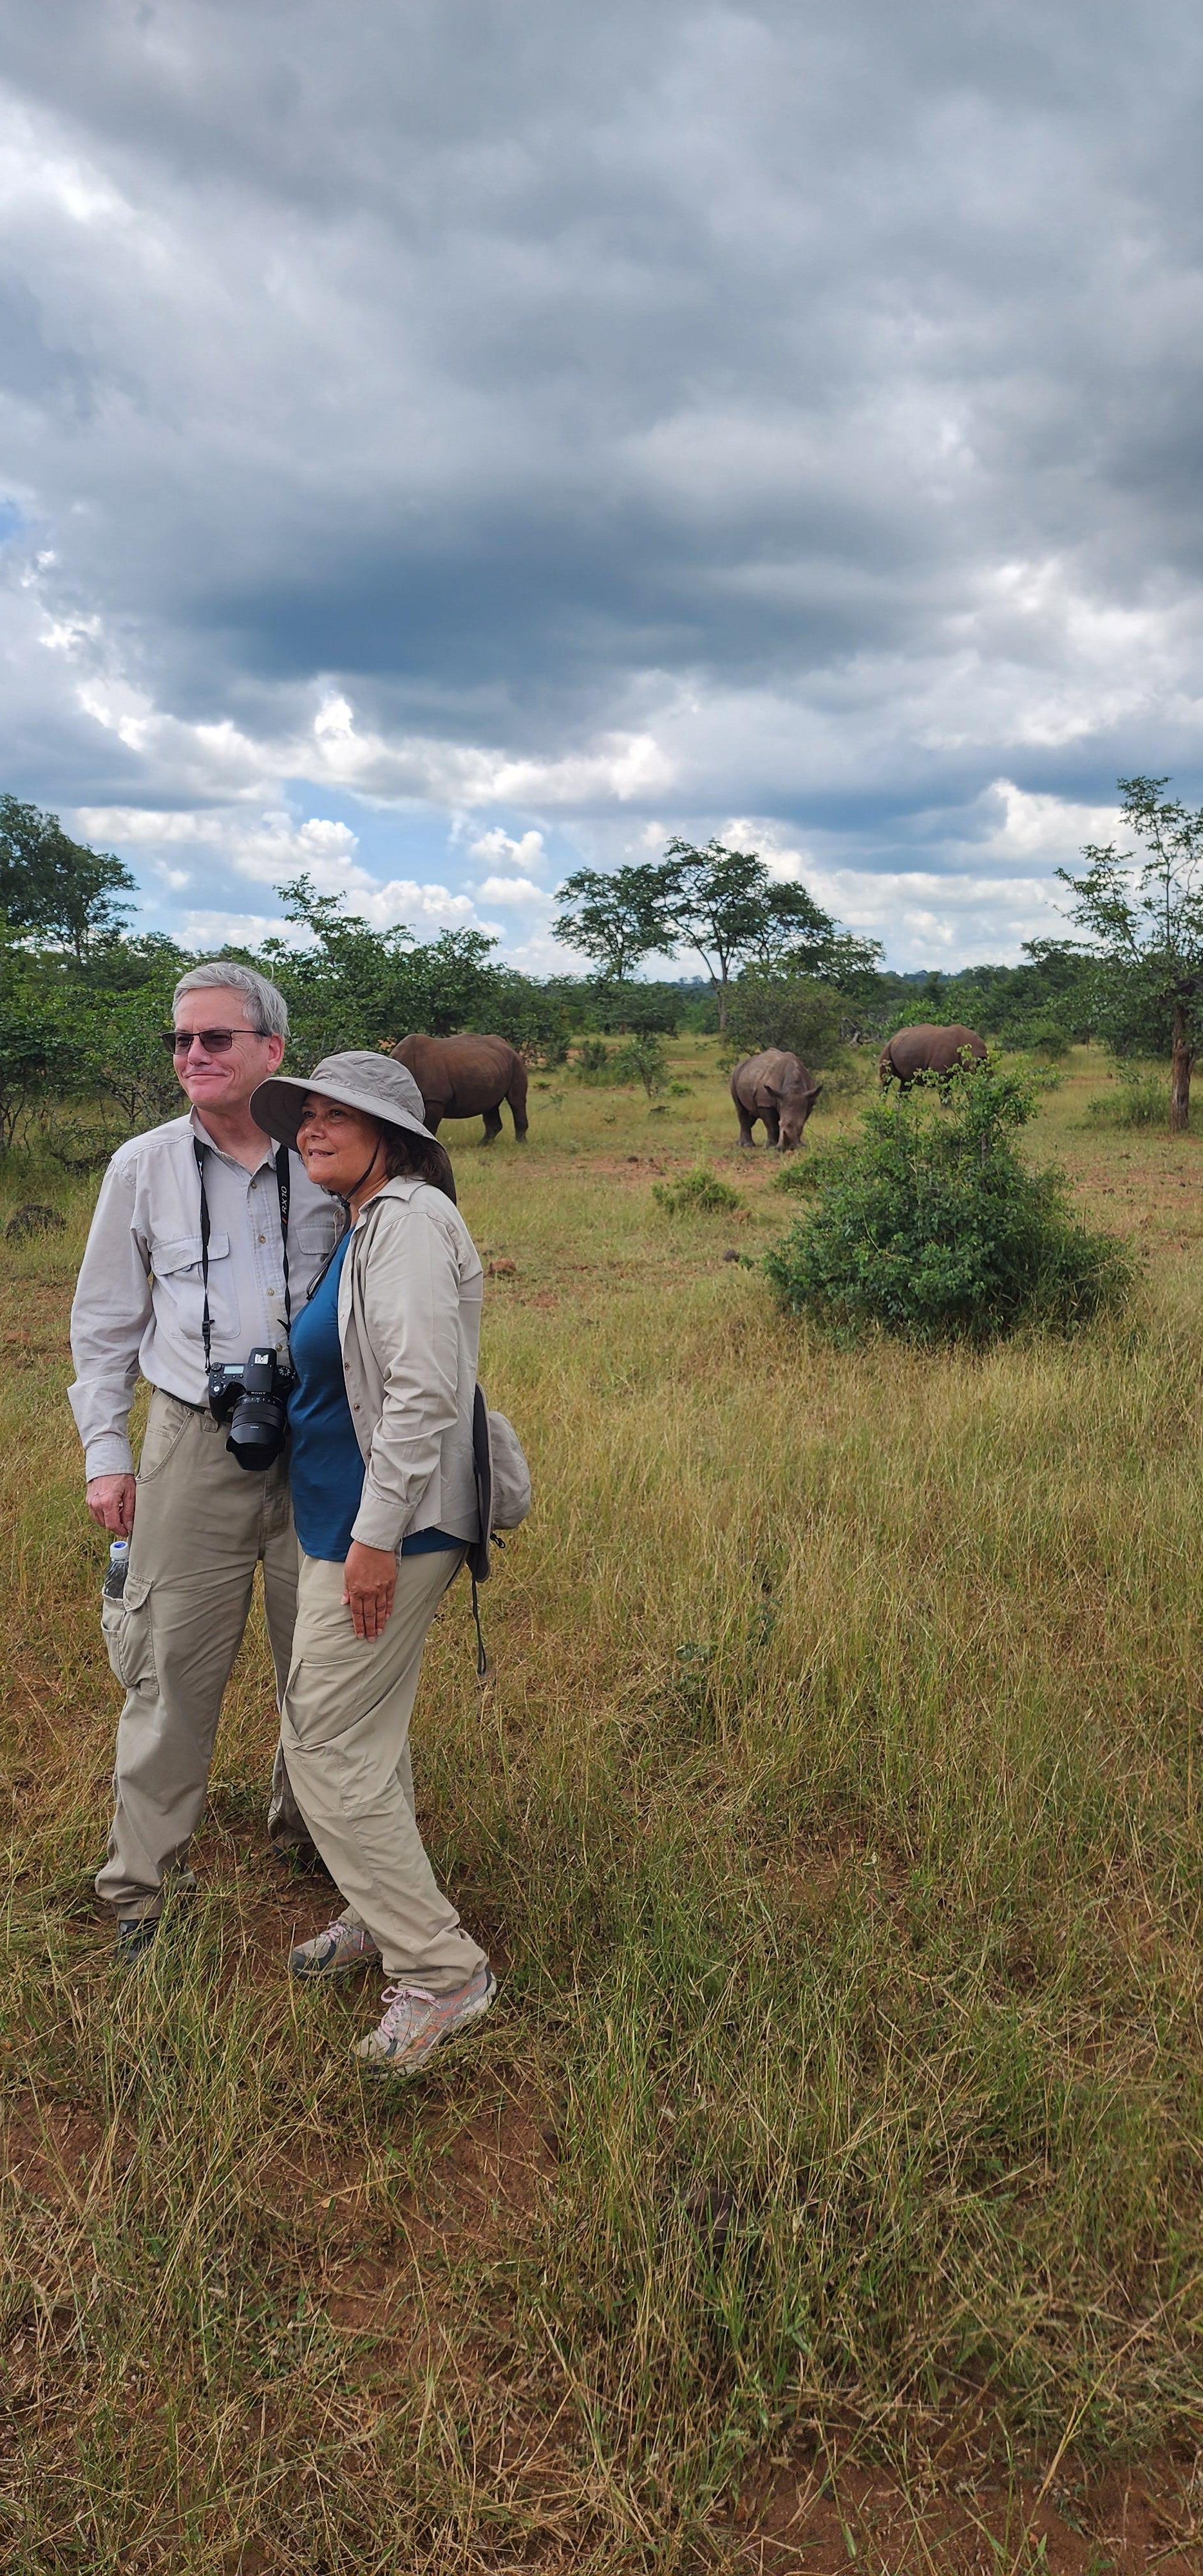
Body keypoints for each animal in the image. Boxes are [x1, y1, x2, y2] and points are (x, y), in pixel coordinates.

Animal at [391, 1033, 529, 1144]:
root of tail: (508, 1046)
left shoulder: (435, 1099)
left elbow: (429, 1128)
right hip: (492, 1066)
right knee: (491, 1104)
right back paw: (483, 1144)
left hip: (516, 1062)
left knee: (516, 1101)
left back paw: (520, 1143)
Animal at [731, 1048, 822, 1151]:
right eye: (780, 1124)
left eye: (801, 1127)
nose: (789, 1148)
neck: (793, 1090)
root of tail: (742, 1063)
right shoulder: (766, 1104)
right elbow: (772, 1126)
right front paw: (770, 1147)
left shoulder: (808, 1102)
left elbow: (801, 1120)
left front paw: (800, 1145)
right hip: (735, 1076)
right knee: (741, 1109)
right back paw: (747, 1145)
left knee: (752, 1111)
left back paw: (739, 1142)